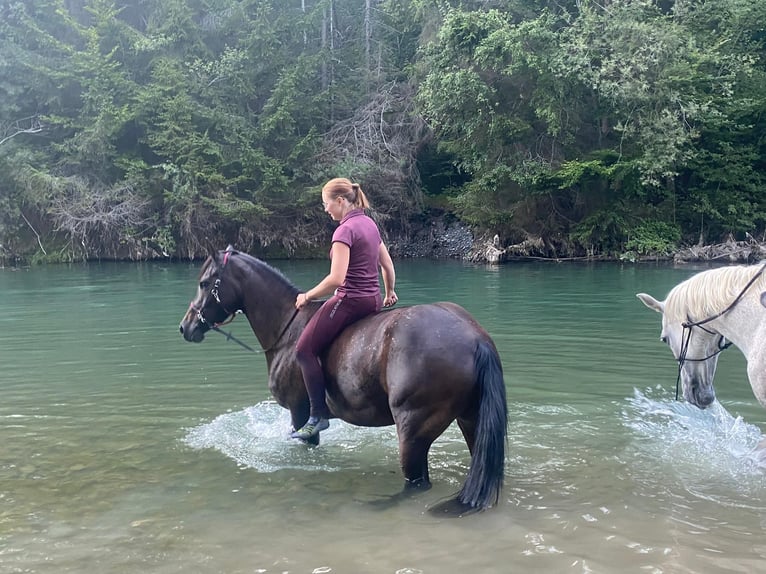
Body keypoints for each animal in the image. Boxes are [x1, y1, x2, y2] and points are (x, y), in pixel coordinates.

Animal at [180, 248, 510, 512]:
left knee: (417, 483)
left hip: (413, 428)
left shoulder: (300, 413)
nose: (186, 327)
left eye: (204, 283)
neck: (288, 327)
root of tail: (474, 336)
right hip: (470, 419)